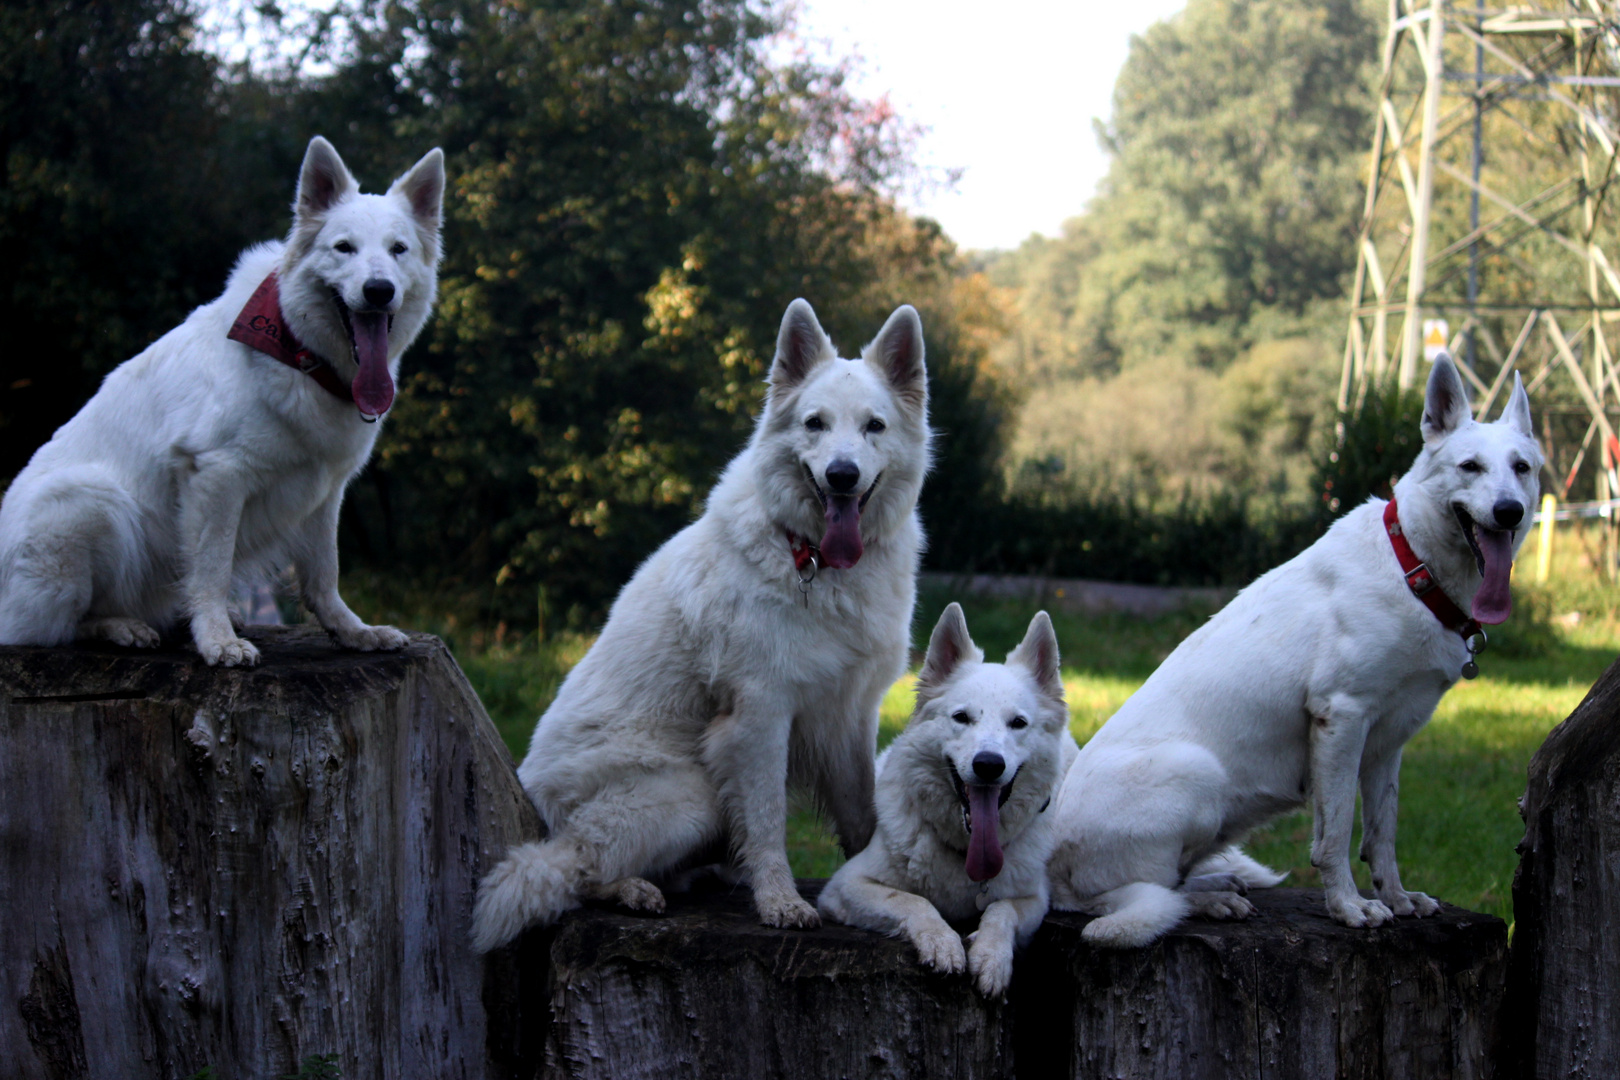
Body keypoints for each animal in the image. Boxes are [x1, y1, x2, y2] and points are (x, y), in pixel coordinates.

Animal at [0, 134, 443, 660]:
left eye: (398, 250)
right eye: (344, 248)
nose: (379, 291)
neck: (299, 351)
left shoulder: (324, 490)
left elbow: (324, 574)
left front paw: (351, 631)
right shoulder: (217, 476)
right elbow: (212, 567)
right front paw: (216, 641)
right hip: (91, 501)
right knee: (50, 627)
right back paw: (120, 626)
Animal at [469, 299, 933, 952]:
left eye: (874, 427)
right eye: (815, 424)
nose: (842, 475)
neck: (812, 558)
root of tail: (530, 794)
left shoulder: (850, 712)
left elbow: (860, 812)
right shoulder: (761, 714)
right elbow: (766, 820)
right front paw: (781, 901)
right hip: (694, 795)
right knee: (570, 865)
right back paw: (633, 890)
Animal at [822, 599, 1075, 997]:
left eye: (1018, 723)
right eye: (961, 717)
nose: (988, 765)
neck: (965, 851)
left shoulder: (1034, 900)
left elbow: (1001, 910)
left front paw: (991, 957)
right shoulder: (846, 886)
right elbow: (914, 900)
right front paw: (942, 943)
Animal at [1049, 356, 1542, 945]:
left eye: (1521, 468)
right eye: (1469, 466)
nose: (1509, 511)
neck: (1412, 568)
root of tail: (1047, 861)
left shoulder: (1387, 742)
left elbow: (1382, 833)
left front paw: (1397, 900)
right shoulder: (1340, 719)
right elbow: (1335, 835)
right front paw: (1349, 907)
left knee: (1162, 884)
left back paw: (1222, 886)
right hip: (1197, 775)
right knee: (1126, 897)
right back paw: (1210, 901)